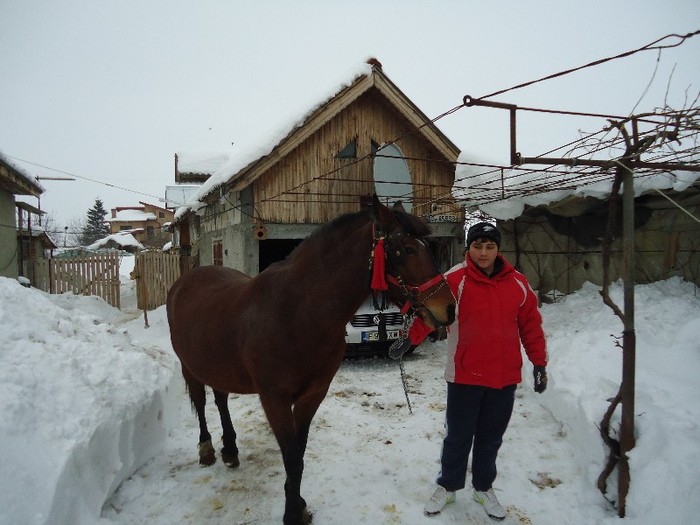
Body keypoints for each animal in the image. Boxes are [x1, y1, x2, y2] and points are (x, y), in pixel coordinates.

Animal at [167, 194, 456, 520]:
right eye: (406, 249)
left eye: (429, 247)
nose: (448, 308)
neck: (297, 314)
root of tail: (184, 281)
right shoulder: (275, 399)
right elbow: (291, 457)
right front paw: (293, 512)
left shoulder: (312, 396)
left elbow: (299, 454)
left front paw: (298, 504)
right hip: (190, 366)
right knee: (202, 403)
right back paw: (207, 449)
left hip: (219, 367)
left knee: (220, 399)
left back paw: (230, 449)